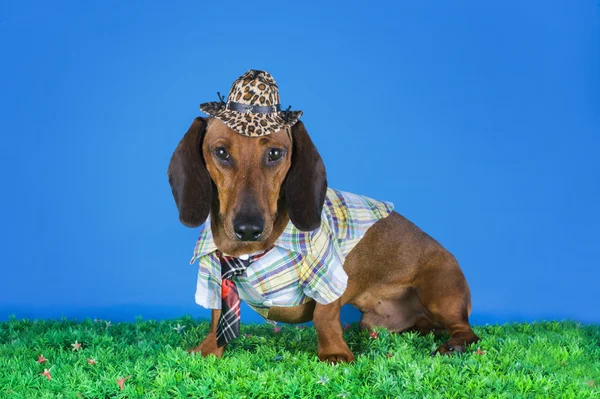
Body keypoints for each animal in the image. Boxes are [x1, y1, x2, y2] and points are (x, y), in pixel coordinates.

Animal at [166, 117, 480, 364]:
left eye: (275, 153)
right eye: (221, 152)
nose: (248, 229)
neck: (248, 252)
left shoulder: (329, 274)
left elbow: (324, 317)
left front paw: (334, 353)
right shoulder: (212, 275)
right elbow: (217, 316)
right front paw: (209, 348)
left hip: (439, 292)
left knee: (467, 332)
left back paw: (453, 345)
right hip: (377, 322)